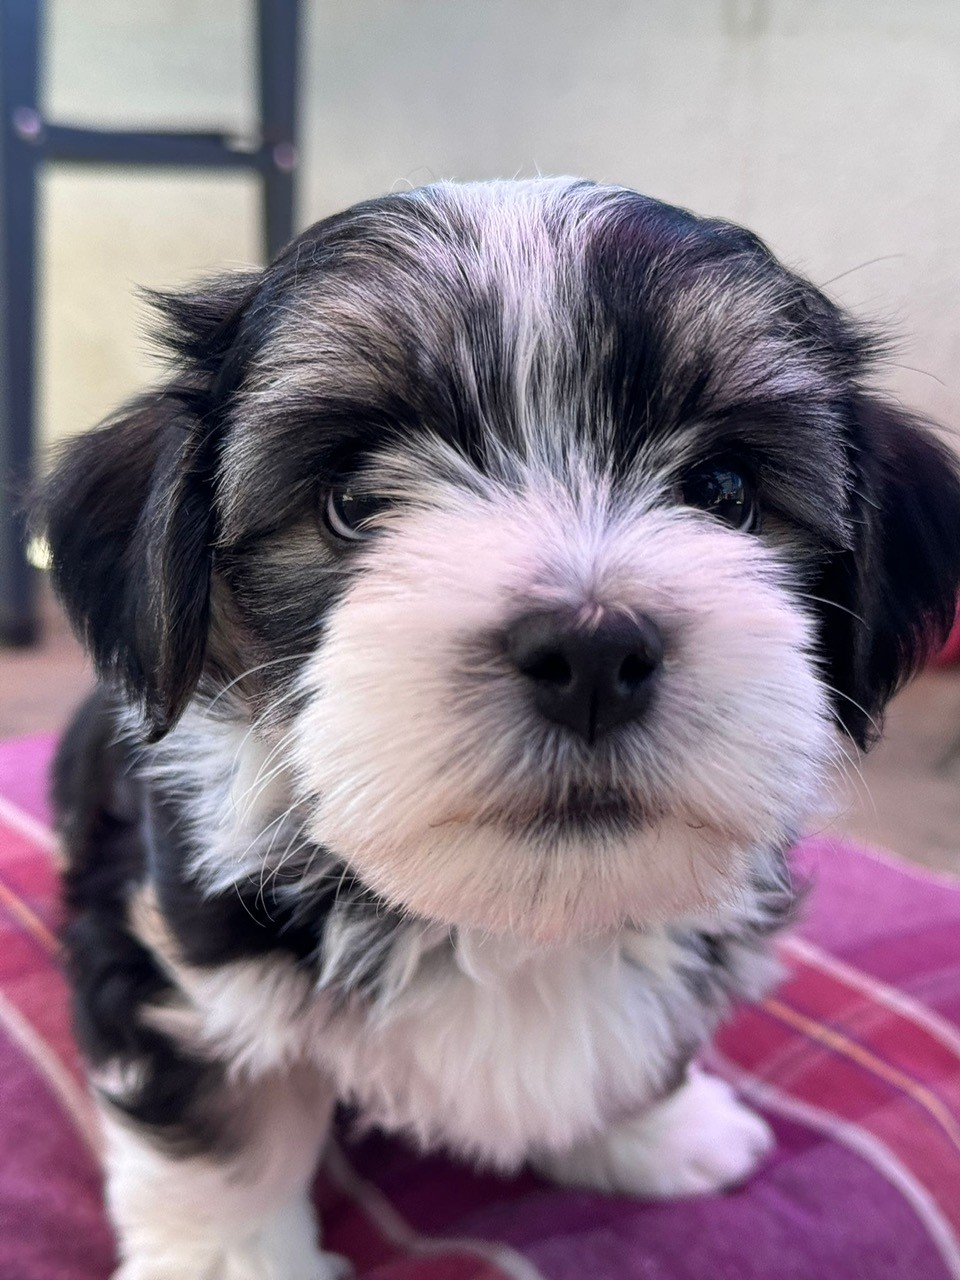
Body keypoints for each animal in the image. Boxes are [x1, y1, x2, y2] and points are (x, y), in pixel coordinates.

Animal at [38, 178, 960, 1279]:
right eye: (353, 501)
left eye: (725, 491)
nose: (592, 652)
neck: (508, 915)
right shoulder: (164, 939)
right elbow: (227, 1127)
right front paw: (232, 1258)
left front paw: (657, 1127)